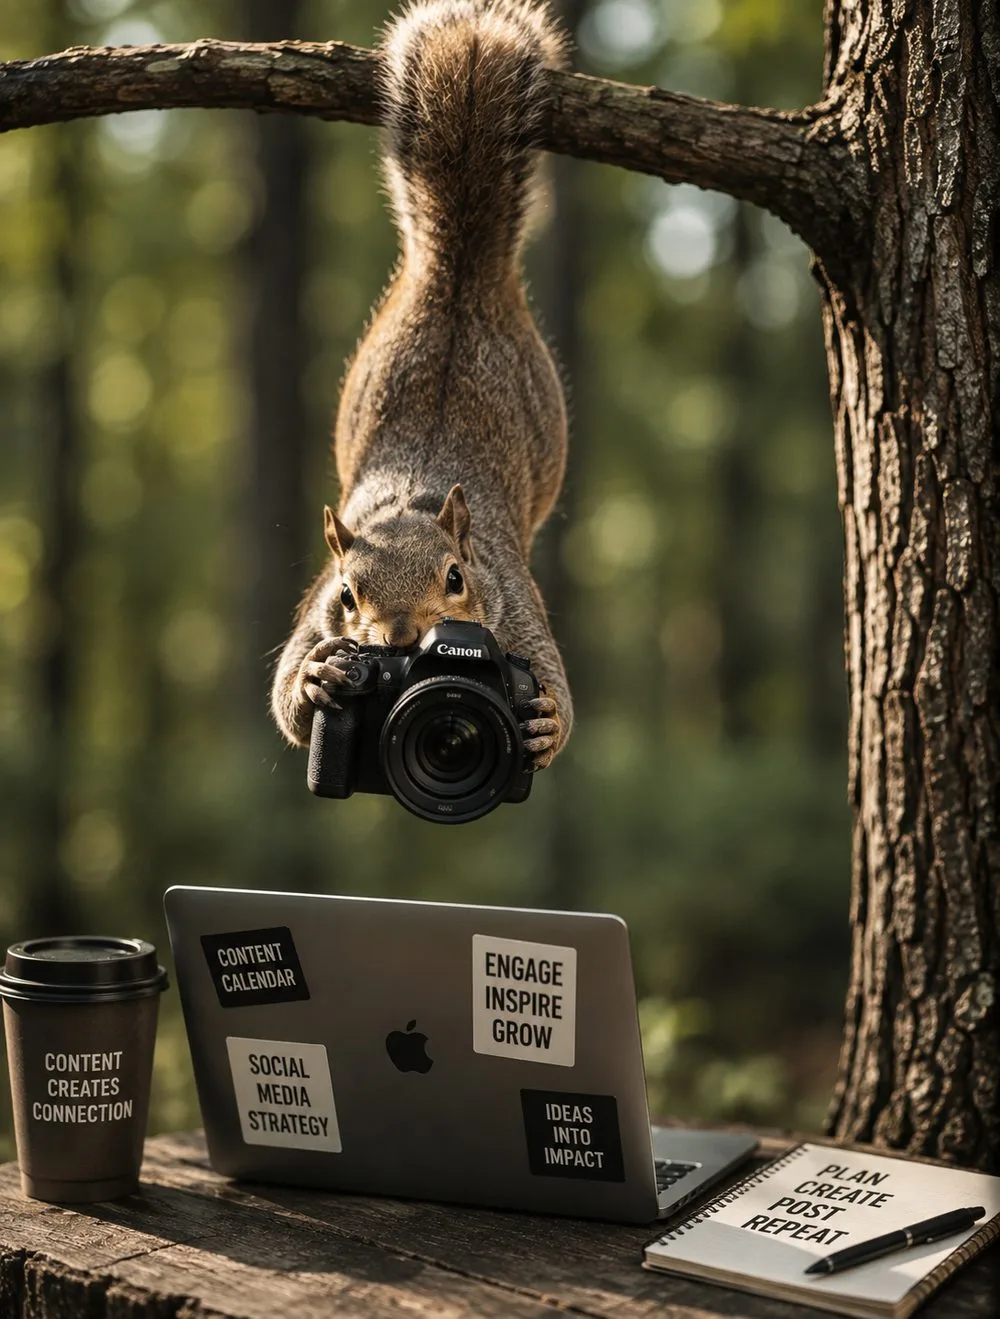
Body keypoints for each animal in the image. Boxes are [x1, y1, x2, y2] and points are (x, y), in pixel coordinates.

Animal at [271, 0, 572, 772]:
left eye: (457, 578)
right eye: (349, 594)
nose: (402, 637)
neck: (412, 502)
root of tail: (458, 275)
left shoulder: (517, 606)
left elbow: (556, 688)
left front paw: (547, 721)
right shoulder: (314, 610)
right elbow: (286, 693)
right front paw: (315, 678)